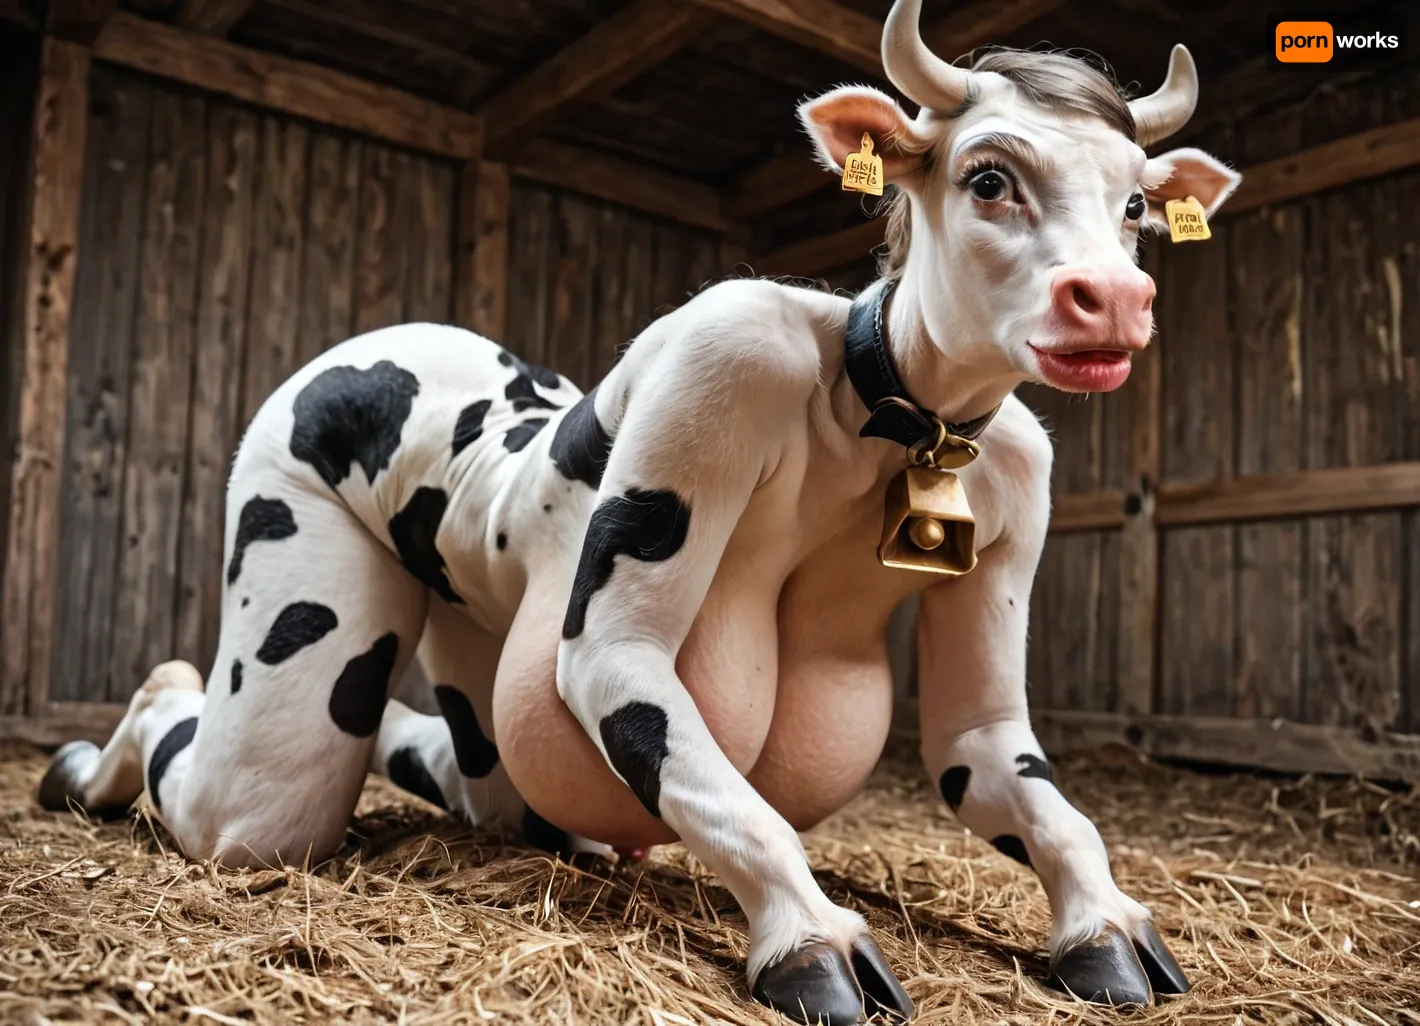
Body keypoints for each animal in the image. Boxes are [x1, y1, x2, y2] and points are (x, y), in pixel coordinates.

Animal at [38, 1, 1240, 1021]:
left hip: (477, 678)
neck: (887, 411)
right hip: (285, 623)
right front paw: (808, 934)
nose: (1115, 300)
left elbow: (1027, 787)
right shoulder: (716, 378)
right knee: (238, 782)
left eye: (1137, 203)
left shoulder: (1017, 499)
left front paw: (1103, 919)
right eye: (989, 177)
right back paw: (93, 754)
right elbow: (714, 782)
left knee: (464, 772)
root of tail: (400, 340)